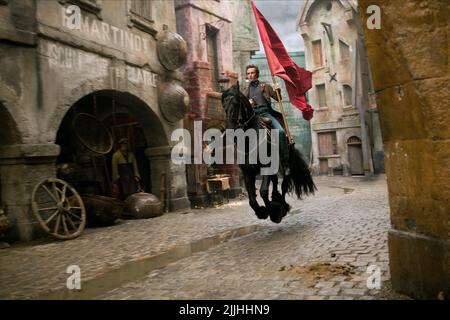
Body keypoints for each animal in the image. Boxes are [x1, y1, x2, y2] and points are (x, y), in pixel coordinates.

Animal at [221, 82, 316, 222]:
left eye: (236, 102)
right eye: (224, 105)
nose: (229, 130)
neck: (250, 140)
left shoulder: (266, 167)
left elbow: (263, 191)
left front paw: (275, 211)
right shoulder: (247, 172)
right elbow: (252, 199)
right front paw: (261, 212)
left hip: (285, 166)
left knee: (283, 185)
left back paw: (282, 205)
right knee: (275, 183)